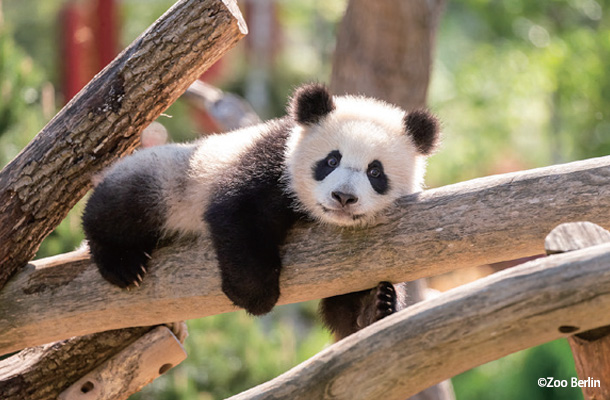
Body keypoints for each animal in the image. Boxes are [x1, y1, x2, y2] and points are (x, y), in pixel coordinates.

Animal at [82, 83, 436, 340]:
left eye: (375, 172)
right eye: (331, 160)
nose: (343, 197)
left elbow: (347, 308)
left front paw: (375, 305)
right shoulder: (272, 160)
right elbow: (238, 213)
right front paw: (255, 295)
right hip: (171, 178)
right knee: (121, 205)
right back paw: (121, 263)